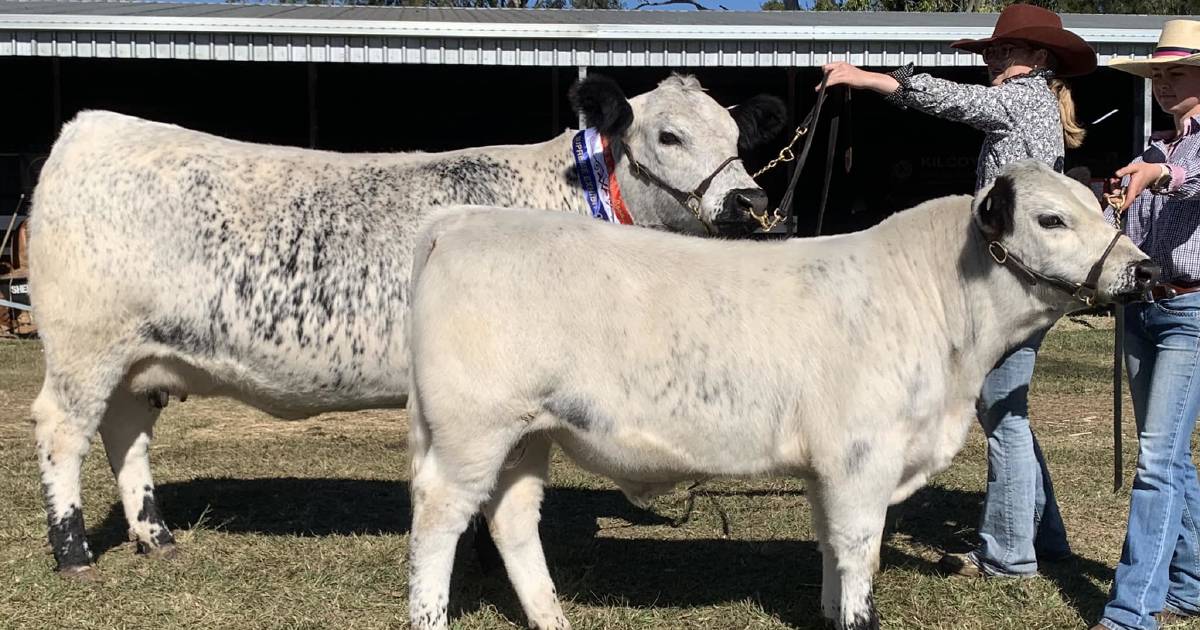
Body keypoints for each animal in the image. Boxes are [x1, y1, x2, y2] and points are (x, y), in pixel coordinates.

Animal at [25, 71, 787, 578]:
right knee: (63, 431)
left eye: (734, 133)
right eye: (668, 134)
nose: (749, 202)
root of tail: (90, 127)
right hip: (83, 345)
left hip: (141, 354)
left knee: (126, 433)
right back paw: (73, 552)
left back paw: (155, 536)